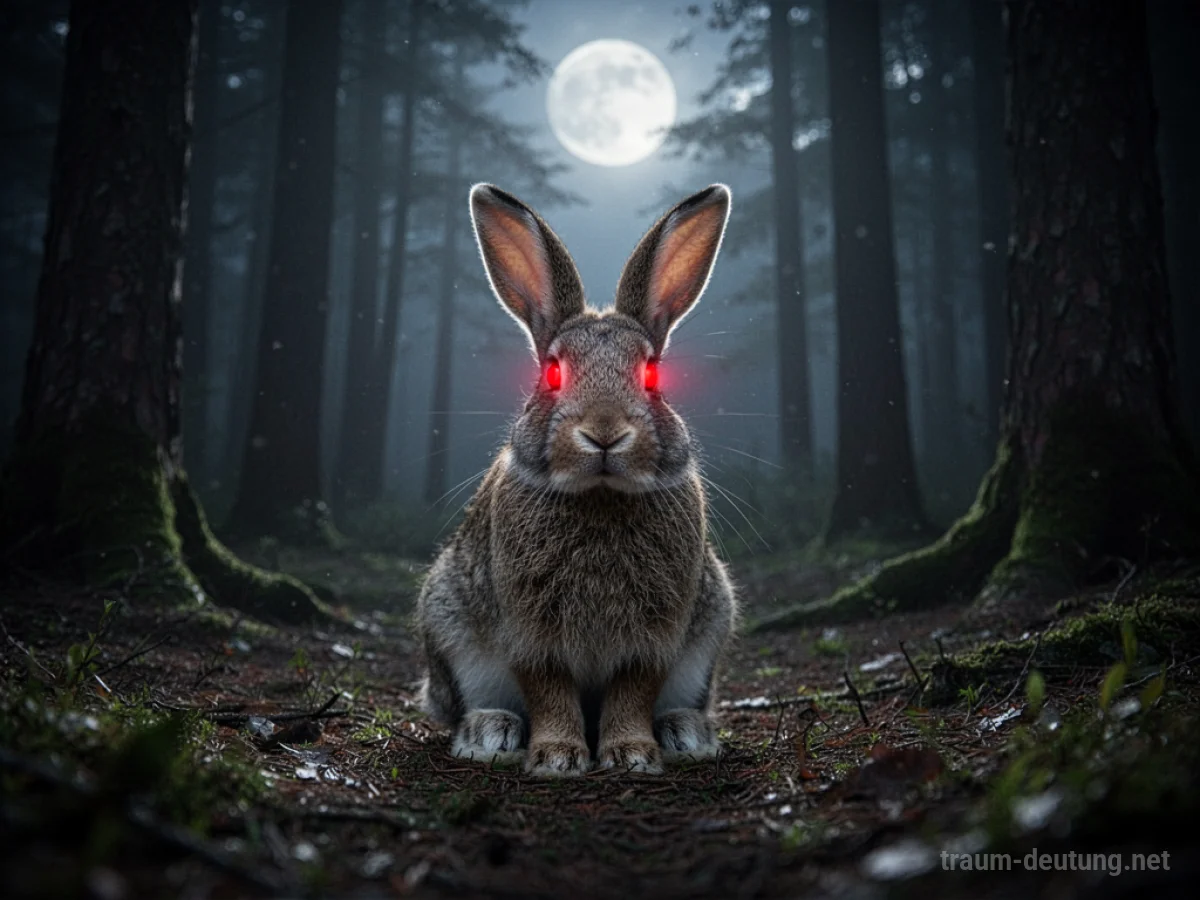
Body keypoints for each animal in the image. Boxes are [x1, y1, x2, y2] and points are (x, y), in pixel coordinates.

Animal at [415, 182, 738, 777]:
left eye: (652, 375)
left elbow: (634, 690)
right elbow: (548, 689)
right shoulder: (529, 632)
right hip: (448, 625)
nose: (604, 434)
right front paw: (557, 757)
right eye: (552, 373)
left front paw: (632, 754)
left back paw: (686, 732)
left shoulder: (655, 636)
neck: (600, 496)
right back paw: (489, 732)